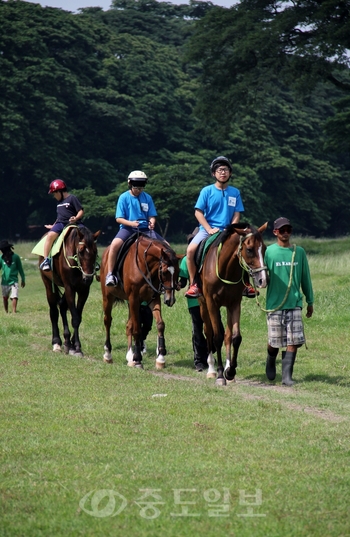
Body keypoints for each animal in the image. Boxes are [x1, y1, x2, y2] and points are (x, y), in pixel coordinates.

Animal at [38, 225, 100, 356]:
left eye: (95, 251)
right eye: (81, 251)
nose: (88, 277)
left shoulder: (84, 290)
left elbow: (78, 316)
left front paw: (72, 344)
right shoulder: (70, 288)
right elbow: (75, 318)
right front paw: (77, 347)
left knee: (62, 305)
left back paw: (67, 342)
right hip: (48, 284)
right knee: (54, 312)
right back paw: (56, 342)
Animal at [100, 234, 179, 368]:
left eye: (178, 272)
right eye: (164, 272)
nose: (170, 300)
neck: (145, 266)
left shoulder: (153, 299)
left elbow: (160, 324)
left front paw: (161, 358)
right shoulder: (134, 299)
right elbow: (137, 329)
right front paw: (138, 359)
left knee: (128, 325)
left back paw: (129, 356)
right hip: (108, 297)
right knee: (108, 321)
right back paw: (108, 355)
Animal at [198, 223, 270, 386]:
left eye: (264, 248)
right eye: (249, 249)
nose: (263, 280)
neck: (225, 269)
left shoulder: (235, 303)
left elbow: (235, 337)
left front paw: (230, 371)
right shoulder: (212, 303)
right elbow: (216, 337)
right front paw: (220, 375)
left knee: (228, 335)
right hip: (203, 305)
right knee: (208, 332)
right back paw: (211, 369)